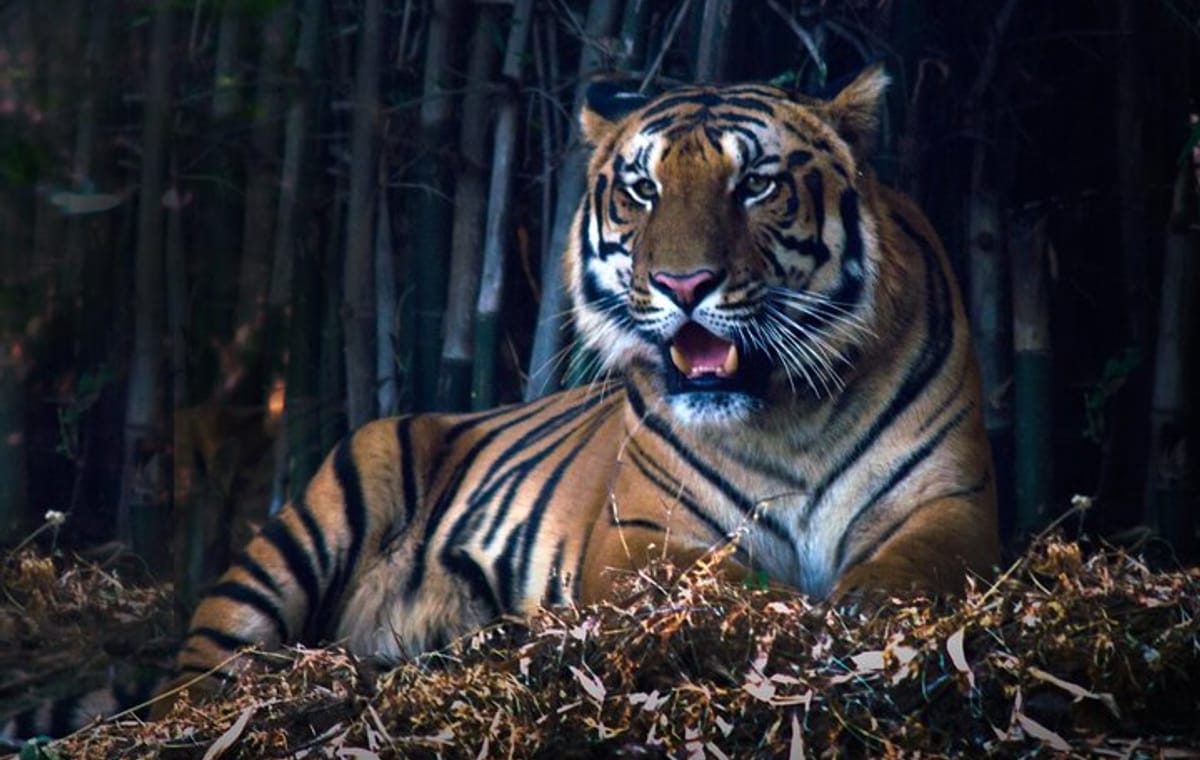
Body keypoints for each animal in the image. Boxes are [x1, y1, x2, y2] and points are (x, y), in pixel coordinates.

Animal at [170, 65, 999, 702]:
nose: (683, 284)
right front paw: (794, 615)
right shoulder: (640, 534)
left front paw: (860, 605)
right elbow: (724, 585)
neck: (789, 414)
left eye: (757, 184)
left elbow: (918, 564)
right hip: (312, 524)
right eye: (642, 188)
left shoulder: (953, 502)